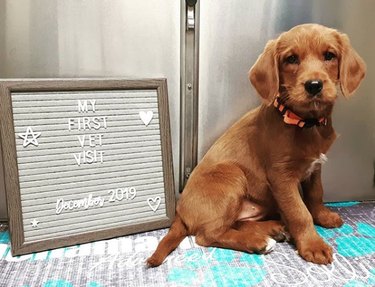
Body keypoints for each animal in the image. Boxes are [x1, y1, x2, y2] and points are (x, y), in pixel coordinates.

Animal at [148, 24, 368, 268]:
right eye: (291, 59)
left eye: (329, 56)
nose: (314, 85)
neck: (305, 123)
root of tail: (179, 211)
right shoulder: (281, 176)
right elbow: (299, 212)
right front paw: (313, 244)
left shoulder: (315, 167)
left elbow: (315, 194)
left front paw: (323, 216)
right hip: (231, 174)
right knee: (208, 235)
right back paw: (258, 242)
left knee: (234, 224)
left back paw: (274, 228)